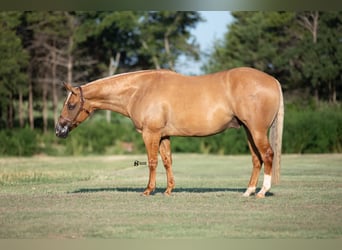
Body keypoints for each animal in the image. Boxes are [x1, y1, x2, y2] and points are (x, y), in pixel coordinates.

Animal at [56, 66, 284, 197]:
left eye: (71, 105)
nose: (59, 130)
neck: (140, 90)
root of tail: (273, 80)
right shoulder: (164, 135)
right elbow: (167, 161)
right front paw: (168, 189)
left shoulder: (150, 134)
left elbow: (152, 162)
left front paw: (148, 190)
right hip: (249, 131)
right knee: (256, 158)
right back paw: (248, 191)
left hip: (257, 130)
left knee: (267, 154)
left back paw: (262, 191)